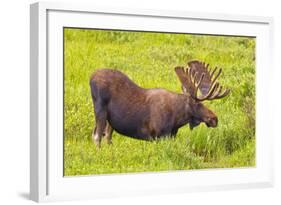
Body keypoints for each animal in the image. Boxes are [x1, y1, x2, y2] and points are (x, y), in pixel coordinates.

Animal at [89, 60, 230, 147]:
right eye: (197, 104)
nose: (214, 118)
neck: (177, 119)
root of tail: (90, 78)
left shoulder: (171, 135)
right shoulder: (159, 135)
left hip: (110, 121)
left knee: (107, 136)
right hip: (100, 110)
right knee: (96, 136)